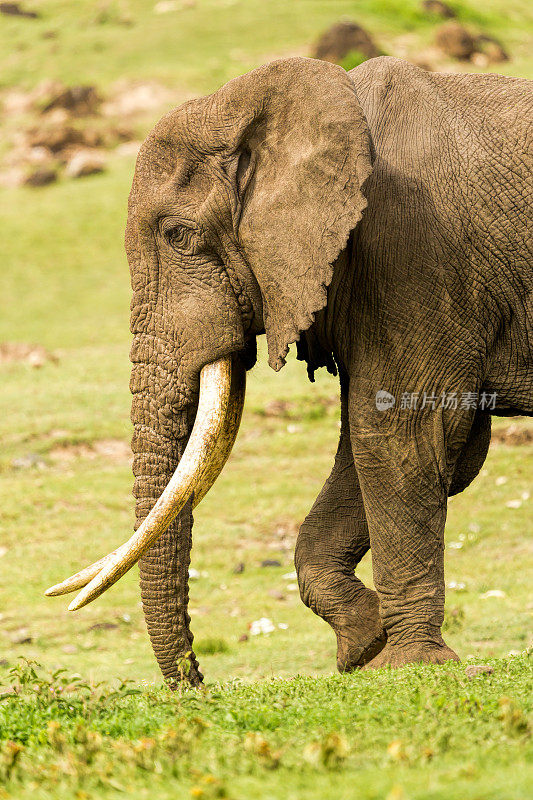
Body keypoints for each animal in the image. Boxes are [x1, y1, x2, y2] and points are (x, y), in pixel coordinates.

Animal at [46, 56, 532, 684]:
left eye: (180, 236)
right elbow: (384, 450)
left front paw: (412, 665)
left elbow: (399, 437)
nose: (195, 687)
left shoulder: (415, 253)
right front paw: (363, 647)